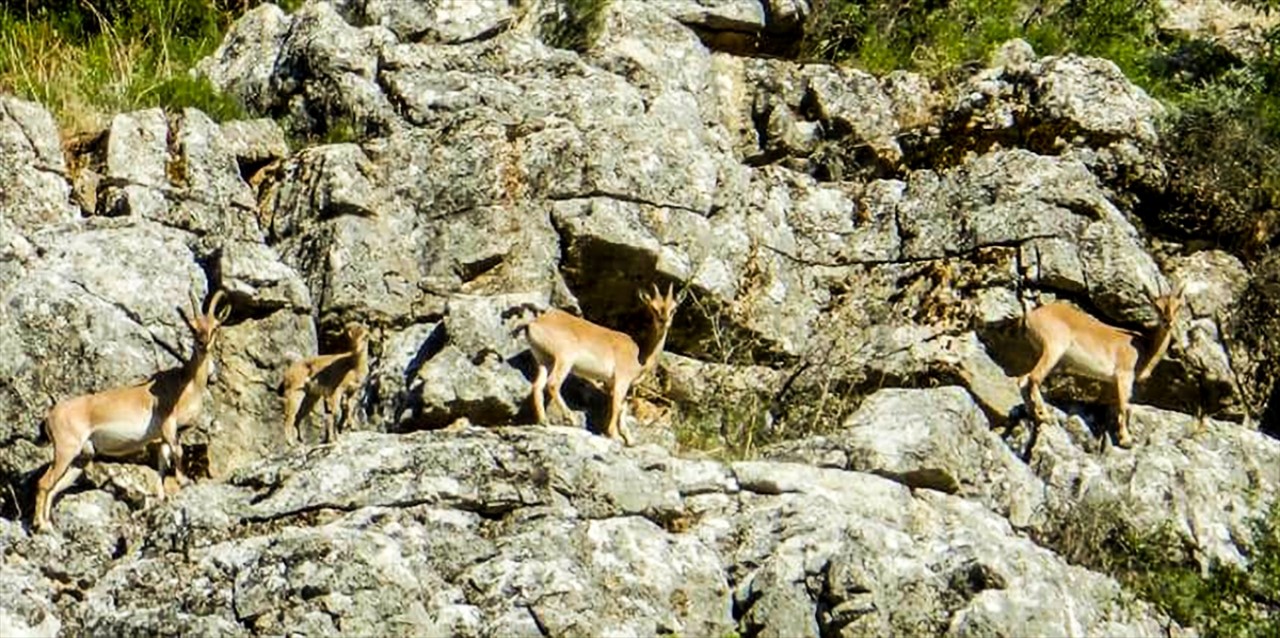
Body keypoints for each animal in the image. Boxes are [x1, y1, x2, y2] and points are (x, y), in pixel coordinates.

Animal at [33, 288, 231, 527]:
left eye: (216, 326)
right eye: (192, 327)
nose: (204, 344)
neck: (187, 384)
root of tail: (50, 417)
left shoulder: (167, 434)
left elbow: (163, 461)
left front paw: (162, 498)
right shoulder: (168, 425)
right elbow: (177, 452)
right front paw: (184, 482)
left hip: (81, 457)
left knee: (55, 487)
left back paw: (49, 525)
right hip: (66, 449)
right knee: (44, 483)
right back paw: (41, 526)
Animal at [522, 284, 680, 443]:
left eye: (674, 309)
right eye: (653, 308)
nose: (664, 321)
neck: (640, 355)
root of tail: (534, 324)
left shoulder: (615, 384)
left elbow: (622, 408)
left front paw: (629, 440)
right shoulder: (621, 380)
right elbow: (616, 406)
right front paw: (614, 435)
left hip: (544, 360)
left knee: (537, 386)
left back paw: (544, 421)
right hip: (564, 358)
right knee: (553, 384)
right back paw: (571, 418)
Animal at [1018, 284, 1187, 448]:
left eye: (1178, 305)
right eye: (1157, 306)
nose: (1168, 321)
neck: (1145, 349)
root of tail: (1031, 316)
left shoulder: (1114, 382)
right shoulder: (1124, 376)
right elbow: (1123, 406)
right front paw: (1126, 440)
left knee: (1023, 380)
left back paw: (1033, 414)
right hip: (1054, 350)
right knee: (1034, 377)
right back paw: (1046, 416)